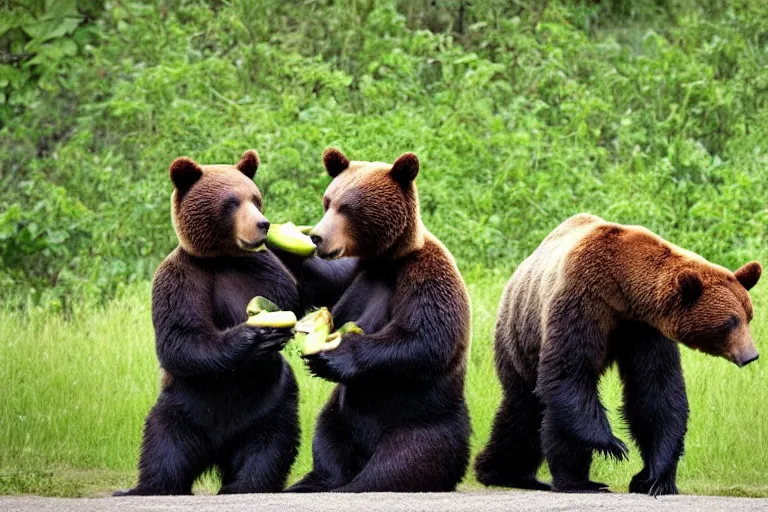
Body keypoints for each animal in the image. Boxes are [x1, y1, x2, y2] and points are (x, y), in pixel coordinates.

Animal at [115, 151, 302, 496]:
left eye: (255, 198)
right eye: (232, 202)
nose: (263, 224)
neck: (221, 259)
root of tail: (219, 449)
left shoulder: (265, 271)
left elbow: (292, 295)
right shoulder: (182, 279)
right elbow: (180, 339)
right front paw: (252, 336)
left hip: (272, 402)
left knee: (270, 444)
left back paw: (244, 484)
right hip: (183, 405)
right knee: (164, 446)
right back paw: (144, 487)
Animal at [282, 147, 474, 492]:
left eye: (348, 207)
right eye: (328, 201)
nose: (317, 237)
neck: (387, 261)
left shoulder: (424, 276)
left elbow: (424, 339)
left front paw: (332, 356)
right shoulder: (356, 274)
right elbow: (319, 285)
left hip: (421, 420)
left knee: (404, 461)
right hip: (339, 414)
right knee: (327, 441)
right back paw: (314, 481)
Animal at [474, 213, 760, 496]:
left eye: (748, 316)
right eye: (730, 322)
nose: (751, 355)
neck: (623, 290)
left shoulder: (644, 330)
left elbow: (656, 390)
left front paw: (654, 477)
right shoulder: (582, 301)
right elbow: (569, 370)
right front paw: (613, 445)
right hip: (520, 336)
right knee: (528, 406)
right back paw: (554, 479)